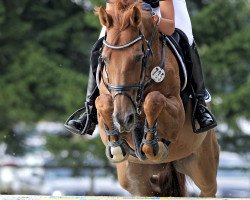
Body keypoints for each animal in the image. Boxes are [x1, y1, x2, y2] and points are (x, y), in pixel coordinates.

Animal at [94, 0, 219, 197]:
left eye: (138, 57)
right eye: (105, 59)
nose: (123, 119)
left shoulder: (177, 113)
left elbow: (154, 99)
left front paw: (152, 145)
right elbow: (102, 102)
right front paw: (116, 146)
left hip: (203, 166)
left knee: (208, 189)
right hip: (135, 179)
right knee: (148, 190)